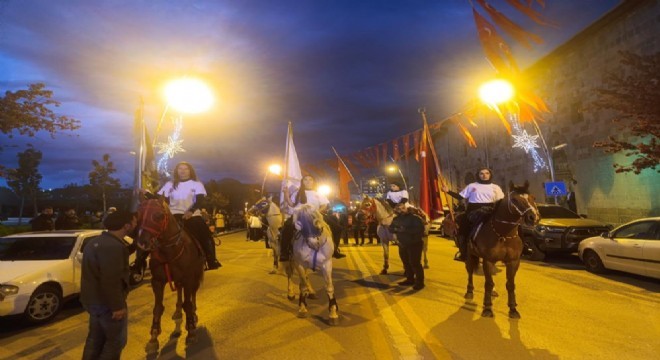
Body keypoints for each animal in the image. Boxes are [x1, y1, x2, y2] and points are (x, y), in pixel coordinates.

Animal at [135, 198, 204, 352]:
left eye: (159, 215)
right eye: (139, 214)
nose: (142, 243)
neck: (170, 251)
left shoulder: (188, 278)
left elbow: (188, 304)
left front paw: (191, 332)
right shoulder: (157, 281)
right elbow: (158, 307)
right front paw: (153, 337)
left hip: (195, 277)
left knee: (193, 294)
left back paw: (194, 314)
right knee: (179, 291)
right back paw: (178, 311)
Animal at [464, 181, 540, 320]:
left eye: (533, 198)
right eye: (514, 200)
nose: (533, 217)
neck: (503, 234)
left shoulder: (513, 262)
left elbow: (510, 284)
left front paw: (513, 309)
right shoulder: (488, 260)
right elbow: (488, 283)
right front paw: (487, 308)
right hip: (470, 256)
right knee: (470, 272)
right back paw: (469, 292)